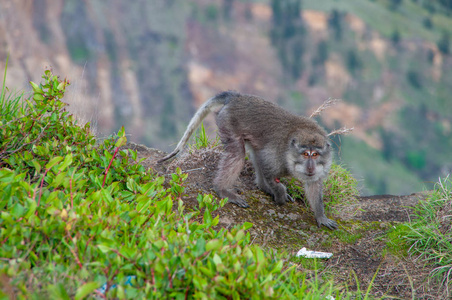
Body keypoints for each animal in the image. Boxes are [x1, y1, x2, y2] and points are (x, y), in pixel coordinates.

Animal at [157, 91, 338, 230]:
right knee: (237, 154)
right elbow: (266, 164)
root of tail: (236, 97)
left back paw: (262, 187)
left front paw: (320, 216)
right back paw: (223, 189)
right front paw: (279, 192)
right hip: (227, 120)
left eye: (315, 154)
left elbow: (313, 184)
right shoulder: (277, 155)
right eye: (306, 154)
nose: (310, 167)